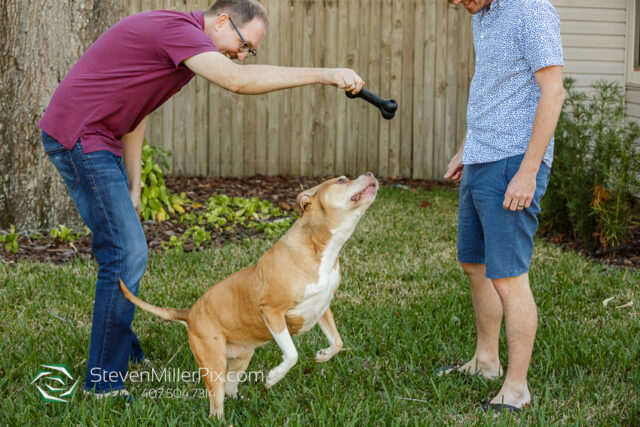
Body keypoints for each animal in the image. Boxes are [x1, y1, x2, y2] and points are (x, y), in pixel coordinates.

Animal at [121, 173, 376, 418]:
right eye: (341, 180)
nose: (371, 173)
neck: (320, 248)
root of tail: (190, 313)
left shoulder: (323, 307)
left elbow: (337, 342)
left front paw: (323, 355)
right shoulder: (272, 311)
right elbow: (291, 353)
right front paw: (275, 376)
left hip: (240, 358)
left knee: (230, 387)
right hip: (213, 364)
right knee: (216, 405)